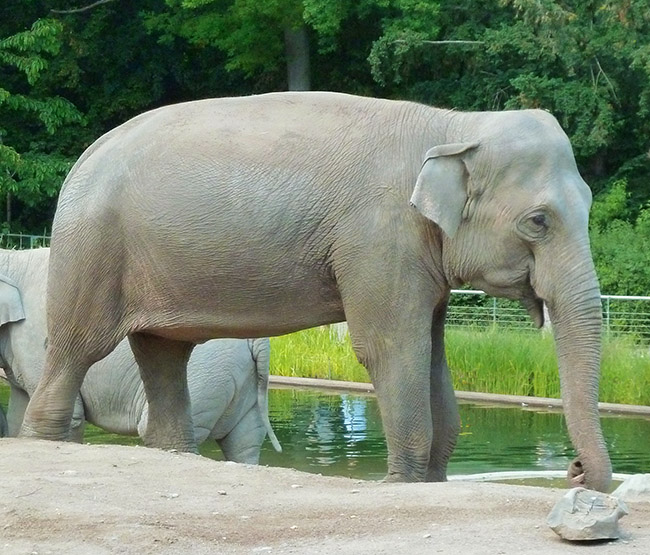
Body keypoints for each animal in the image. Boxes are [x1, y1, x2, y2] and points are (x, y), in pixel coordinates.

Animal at [0, 249, 278, 464]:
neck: (12, 259)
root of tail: (258, 340)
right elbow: (18, 412)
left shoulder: (33, 342)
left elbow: (73, 416)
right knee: (244, 442)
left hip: (208, 376)